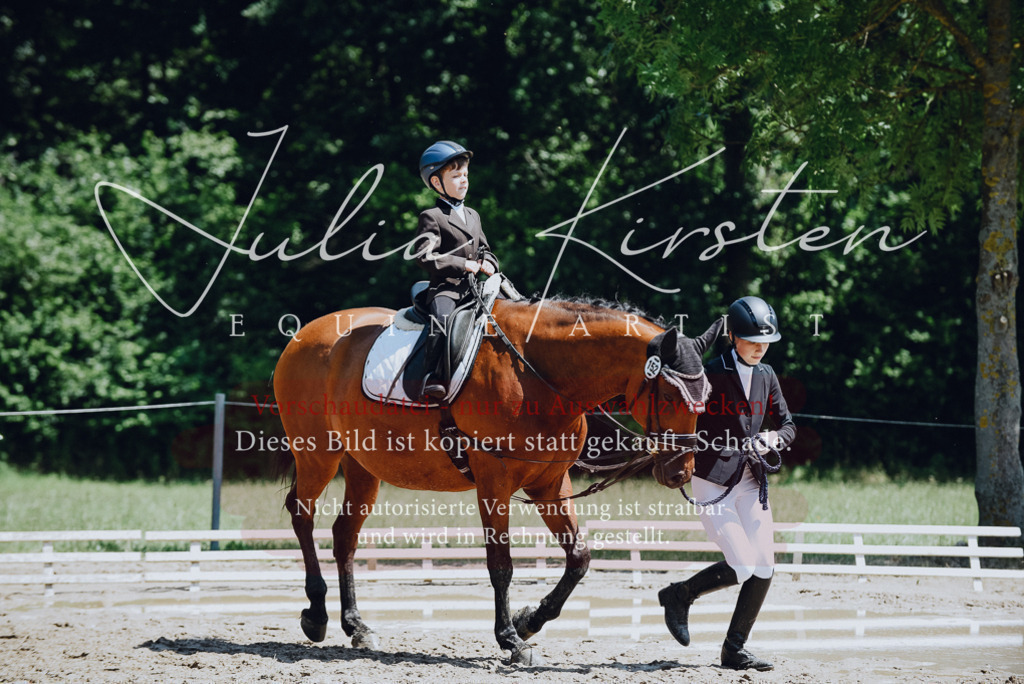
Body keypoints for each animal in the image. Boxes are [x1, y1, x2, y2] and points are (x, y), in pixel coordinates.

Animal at [273, 289, 722, 665]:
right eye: (669, 396)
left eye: (707, 397)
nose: (680, 472)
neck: (538, 374)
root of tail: (305, 335)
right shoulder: (495, 482)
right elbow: (501, 564)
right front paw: (510, 639)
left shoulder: (549, 485)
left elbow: (578, 558)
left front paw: (530, 621)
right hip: (318, 454)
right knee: (302, 515)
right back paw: (316, 615)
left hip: (362, 467)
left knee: (344, 535)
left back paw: (356, 626)